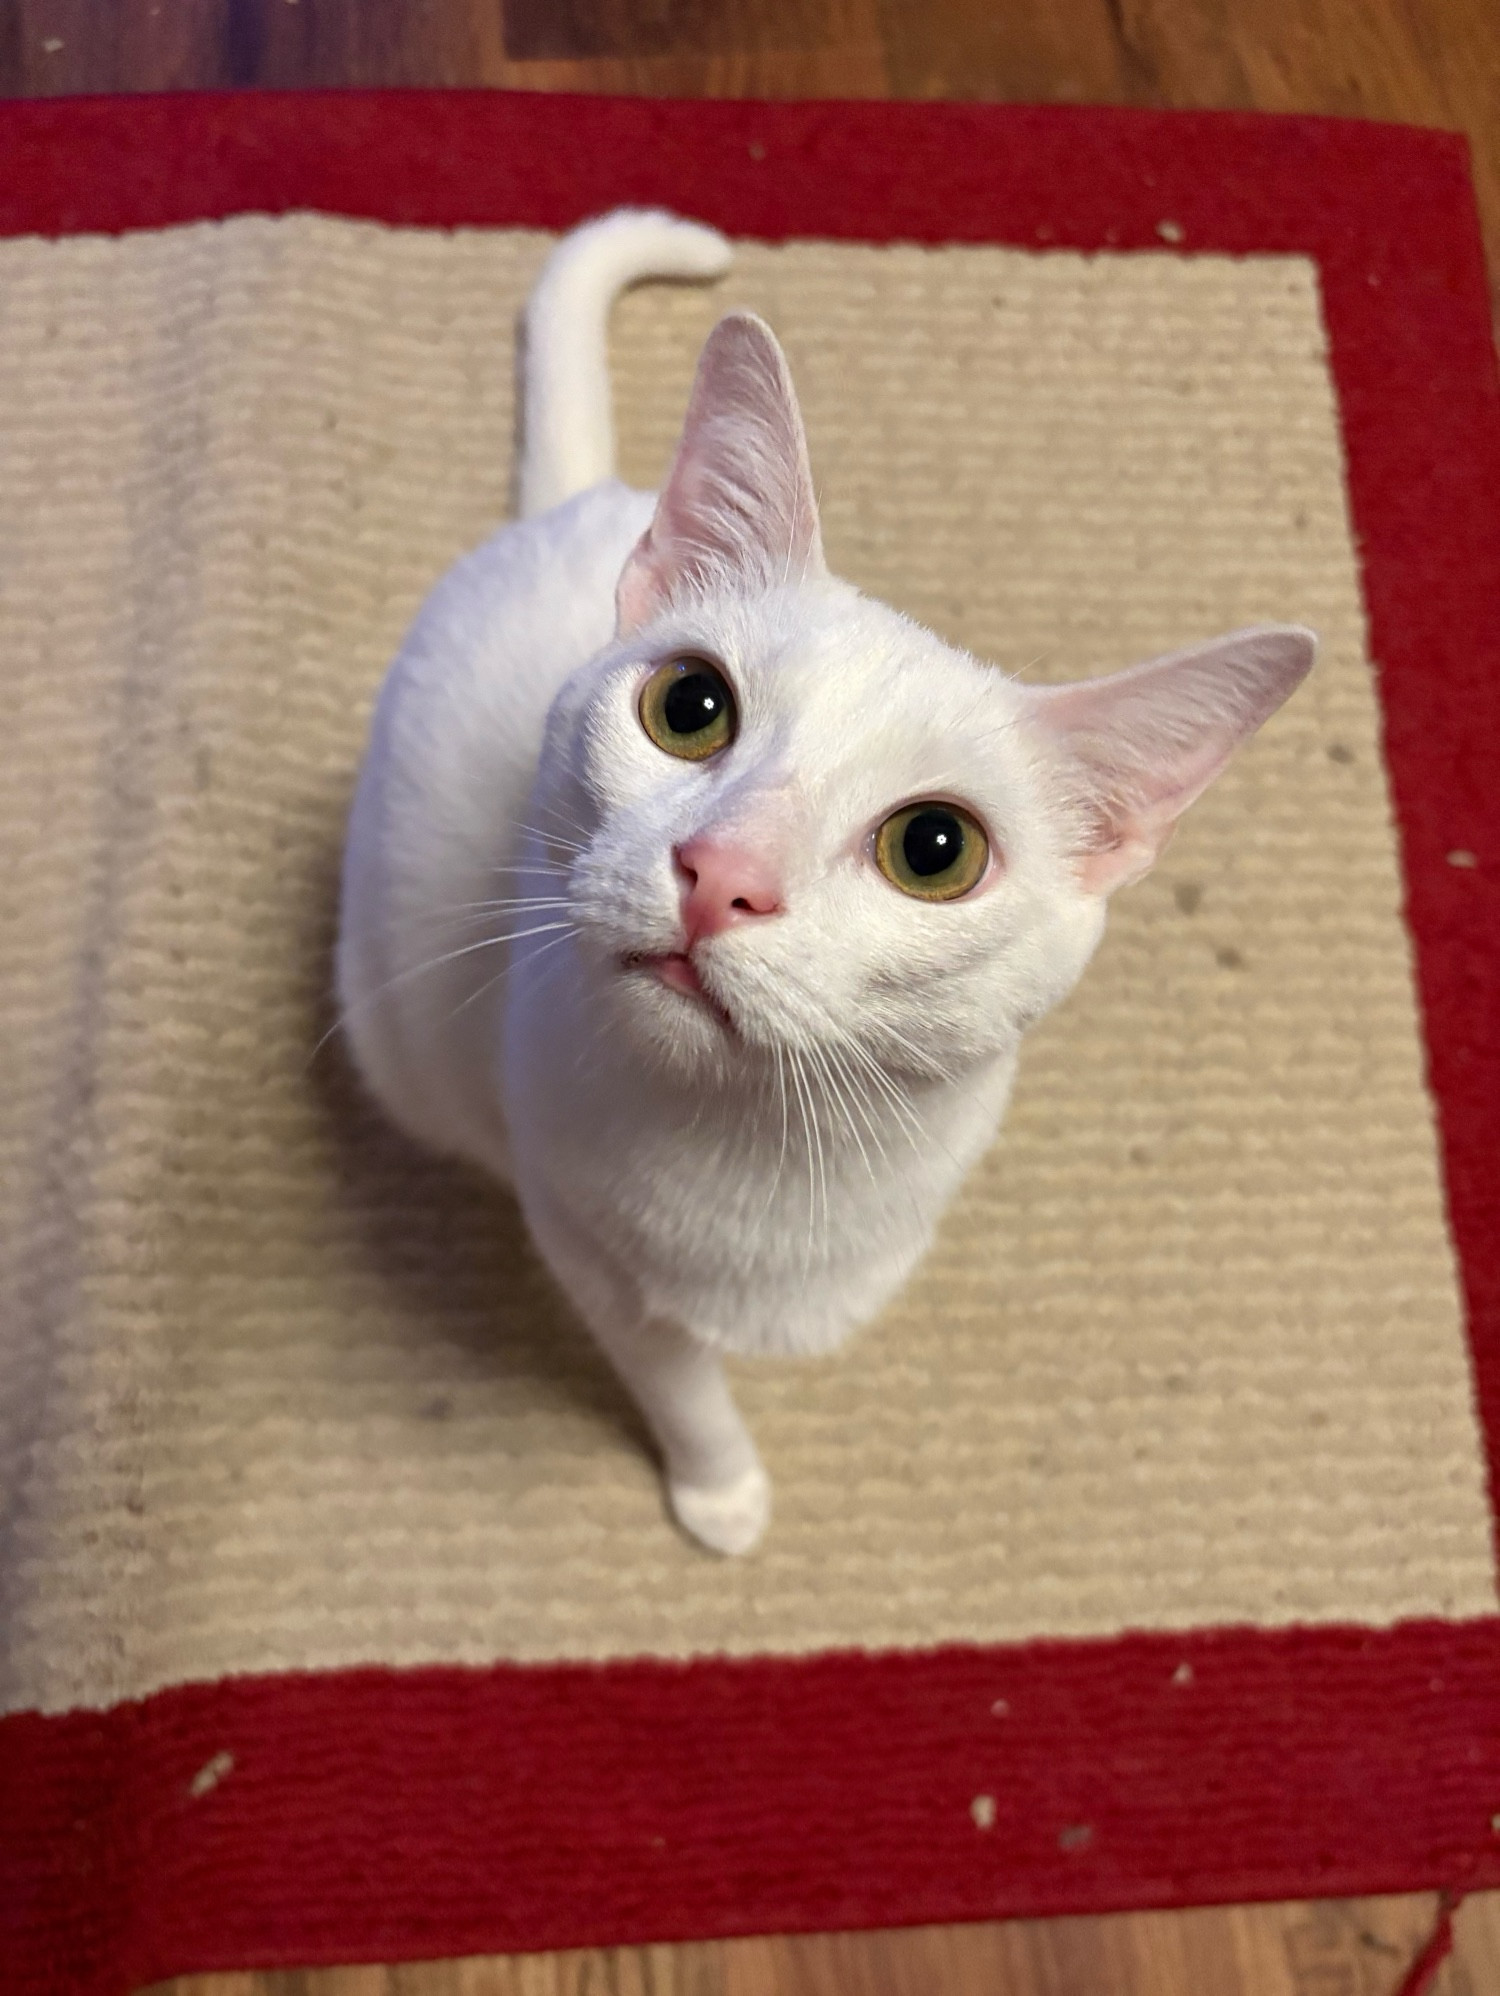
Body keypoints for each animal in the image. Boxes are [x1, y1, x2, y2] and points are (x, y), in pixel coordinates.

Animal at [339, 214, 1308, 1556]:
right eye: (690, 707)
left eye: (935, 849)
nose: (723, 875)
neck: (765, 1150)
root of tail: (574, 505)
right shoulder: (585, 1245)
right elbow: (678, 1382)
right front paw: (721, 1489)